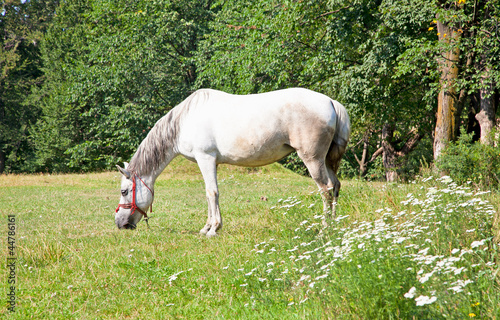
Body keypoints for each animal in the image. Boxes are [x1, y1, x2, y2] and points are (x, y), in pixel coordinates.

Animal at [114, 87, 350, 235]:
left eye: (124, 191)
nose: (120, 223)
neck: (183, 122)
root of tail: (330, 102)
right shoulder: (211, 162)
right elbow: (210, 194)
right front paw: (207, 227)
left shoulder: (205, 158)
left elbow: (211, 193)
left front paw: (213, 229)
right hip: (326, 160)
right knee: (336, 186)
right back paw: (334, 225)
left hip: (313, 159)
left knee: (326, 190)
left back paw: (324, 229)